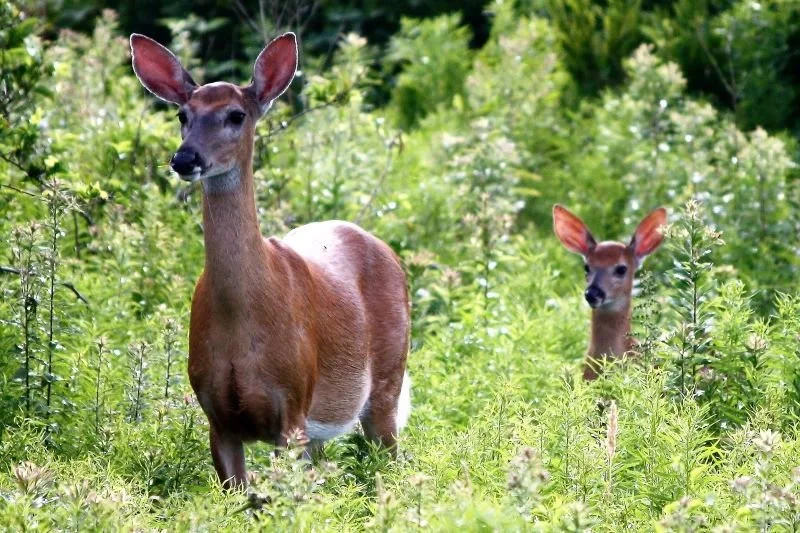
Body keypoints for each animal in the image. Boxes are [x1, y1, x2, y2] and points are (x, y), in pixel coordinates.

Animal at [129, 32, 411, 489]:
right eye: (182, 115)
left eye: (236, 115)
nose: (185, 158)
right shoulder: (217, 415)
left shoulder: (292, 406)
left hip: (387, 381)